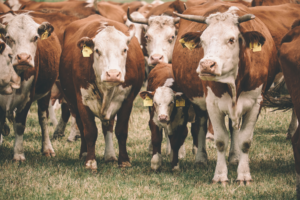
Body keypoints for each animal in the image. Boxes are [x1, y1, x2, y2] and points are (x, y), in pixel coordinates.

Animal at [59, 14, 144, 170]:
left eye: (124, 50)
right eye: (97, 50)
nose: (113, 74)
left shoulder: (127, 100)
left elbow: (121, 131)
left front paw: (124, 161)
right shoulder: (83, 100)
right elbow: (90, 131)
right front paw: (90, 162)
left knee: (108, 127)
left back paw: (110, 155)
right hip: (73, 103)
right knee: (81, 126)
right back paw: (84, 153)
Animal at [172, 0, 280, 185]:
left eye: (231, 39)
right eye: (202, 40)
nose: (206, 65)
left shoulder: (256, 103)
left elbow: (245, 140)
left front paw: (243, 175)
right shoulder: (212, 103)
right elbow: (221, 140)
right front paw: (220, 176)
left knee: (234, 128)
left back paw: (235, 157)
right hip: (200, 103)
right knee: (201, 124)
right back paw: (201, 158)